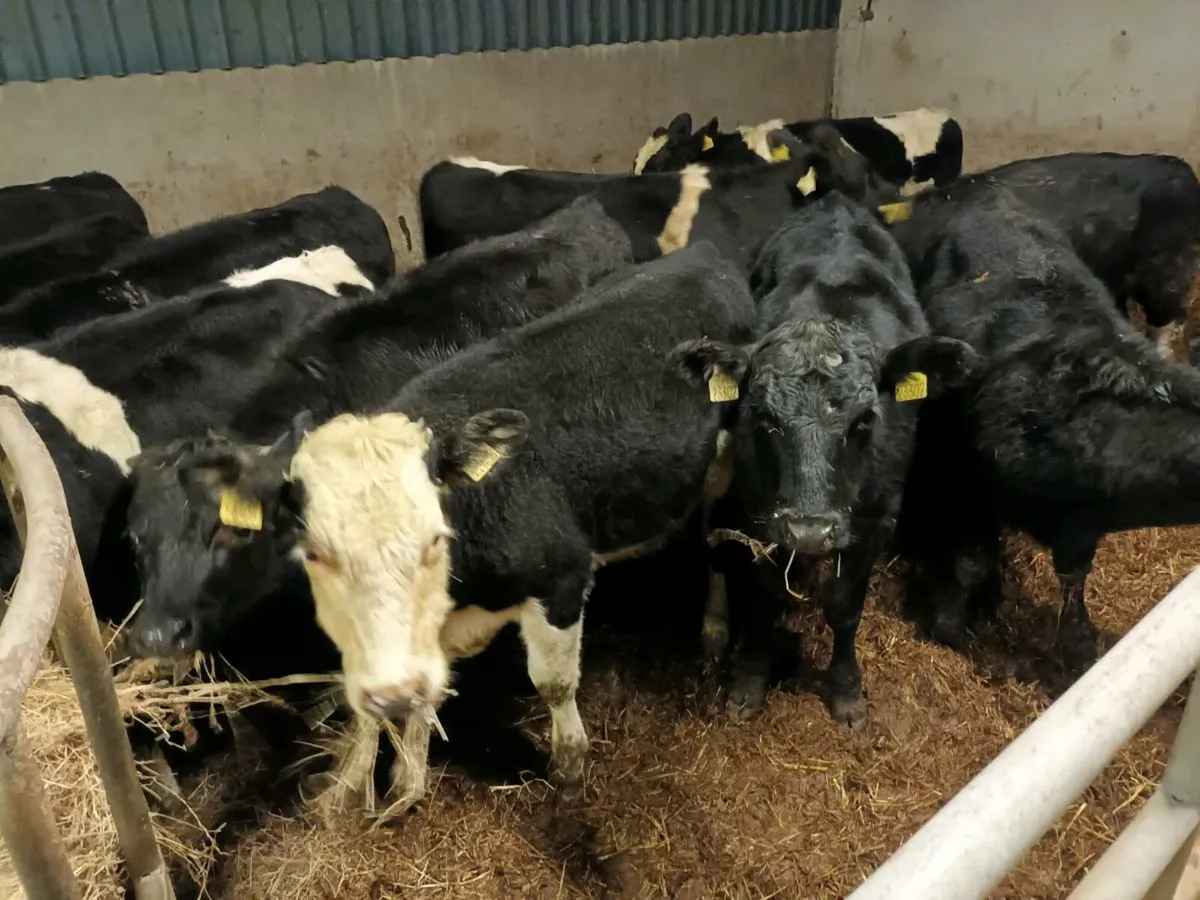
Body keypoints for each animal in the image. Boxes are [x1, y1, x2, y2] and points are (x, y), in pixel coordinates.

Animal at [194, 240, 756, 813]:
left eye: (434, 541)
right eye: (315, 553)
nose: (391, 691)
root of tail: (700, 252)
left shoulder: (561, 577)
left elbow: (553, 682)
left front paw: (568, 768)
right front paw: (385, 785)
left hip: (723, 466)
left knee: (717, 546)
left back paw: (713, 630)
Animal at [670, 194, 976, 725]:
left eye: (865, 421)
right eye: (763, 416)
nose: (811, 531)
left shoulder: (875, 519)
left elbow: (845, 606)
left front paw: (847, 690)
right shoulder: (759, 513)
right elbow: (767, 595)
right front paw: (750, 679)